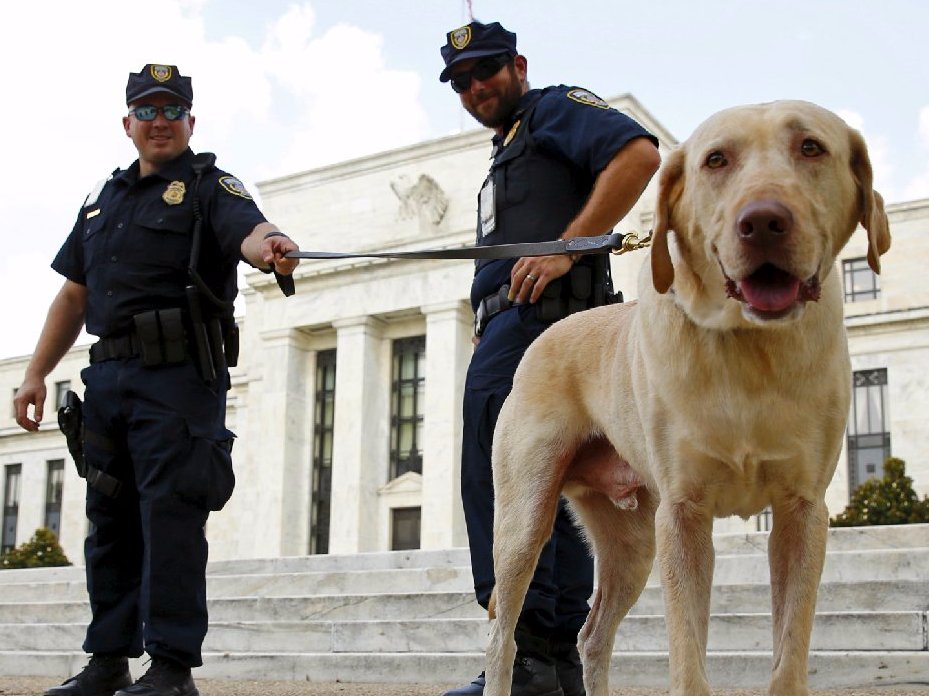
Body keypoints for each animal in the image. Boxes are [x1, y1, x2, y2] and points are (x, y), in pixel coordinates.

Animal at [482, 102, 888, 696]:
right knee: (503, 634)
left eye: (811, 147)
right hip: (524, 518)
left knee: (592, 634)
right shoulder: (683, 515)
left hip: (629, 542)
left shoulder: (803, 513)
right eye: (715, 160)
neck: (748, 349)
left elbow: (789, 653)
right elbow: (689, 658)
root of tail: (548, 333)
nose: (763, 222)